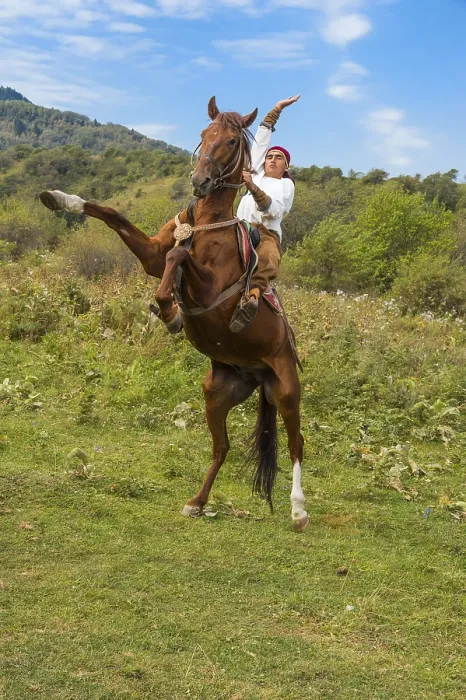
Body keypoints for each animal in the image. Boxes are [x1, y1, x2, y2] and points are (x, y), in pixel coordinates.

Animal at [39, 96, 309, 532]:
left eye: (231, 140)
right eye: (204, 133)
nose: (199, 182)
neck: (206, 223)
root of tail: (259, 373)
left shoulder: (212, 291)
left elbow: (178, 256)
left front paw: (168, 311)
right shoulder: (151, 254)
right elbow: (117, 217)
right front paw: (63, 199)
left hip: (286, 387)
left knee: (296, 441)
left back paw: (299, 511)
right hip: (217, 393)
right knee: (222, 447)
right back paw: (197, 502)